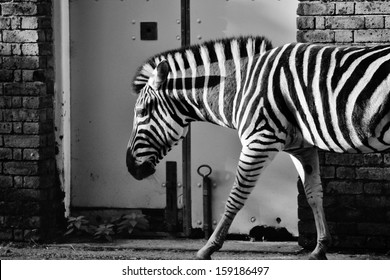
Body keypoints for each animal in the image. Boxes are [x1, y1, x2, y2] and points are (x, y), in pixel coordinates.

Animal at [126, 35, 390, 260]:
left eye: (142, 112)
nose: (131, 168)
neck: (241, 87)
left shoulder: (259, 139)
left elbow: (235, 196)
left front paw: (207, 248)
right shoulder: (301, 148)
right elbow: (314, 194)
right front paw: (320, 248)